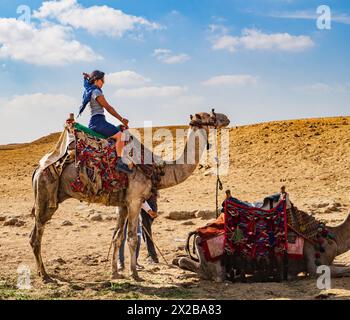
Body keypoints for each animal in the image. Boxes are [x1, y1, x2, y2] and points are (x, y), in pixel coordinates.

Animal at [30, 110, 230, 282]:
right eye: (209, 115)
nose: (226, 118)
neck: (158, 168)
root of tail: (38, 169)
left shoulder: (123, 204)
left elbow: (117, 237)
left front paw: (115, 273)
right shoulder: (135, 201)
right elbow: (133, 238)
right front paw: (135, 274)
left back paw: (43, 273)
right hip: (46, 195)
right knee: (36, 236)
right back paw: (45, 276)